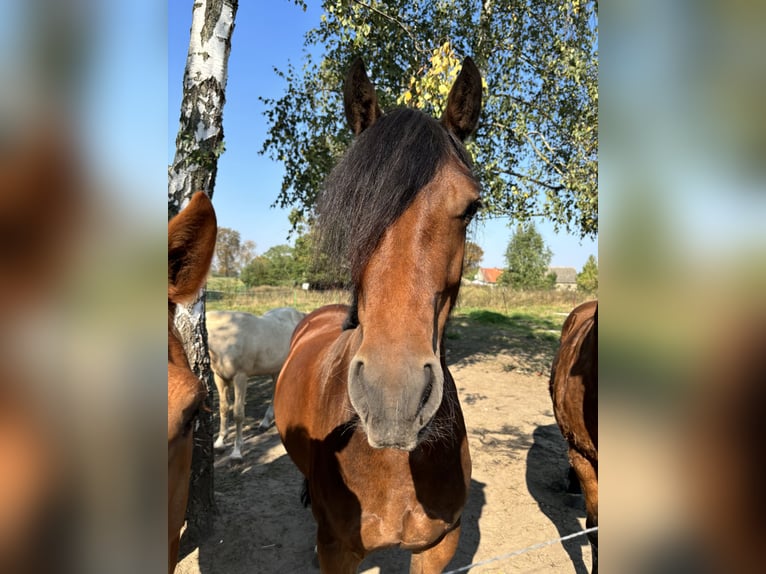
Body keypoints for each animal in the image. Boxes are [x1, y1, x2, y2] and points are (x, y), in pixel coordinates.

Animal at [210, 308, 308, 462]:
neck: (224, 336)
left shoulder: (240, 377)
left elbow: (238, 414)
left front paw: (236, 452)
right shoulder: (220, 378)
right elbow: (224, 408)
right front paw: (219, 443)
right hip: (276, 369)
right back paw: (265, 422)